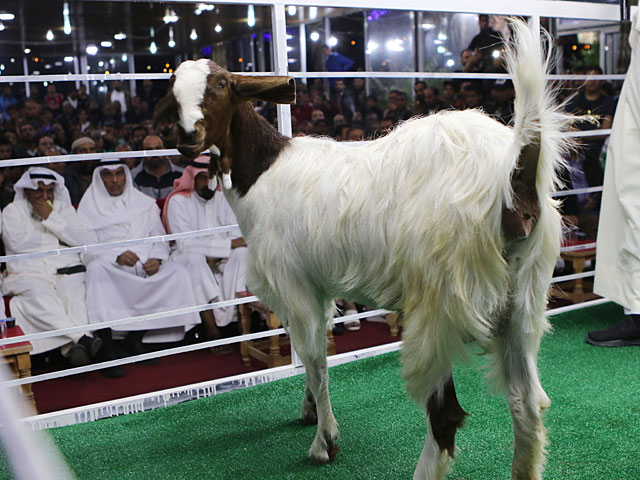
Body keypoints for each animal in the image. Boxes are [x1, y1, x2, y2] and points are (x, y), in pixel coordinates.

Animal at [154, 18, 568, 480]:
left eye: (223, 84)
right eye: (171, 89)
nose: (188, 137)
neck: (262, 172)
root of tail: (515, 173)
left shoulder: (294, 285)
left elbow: (315, 359)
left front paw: (325, 441)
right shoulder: (319, 286)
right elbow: (316, 354)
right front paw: (309, 410)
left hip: (440, 299)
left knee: (445, 415)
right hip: (523, 299)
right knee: (528, 403)